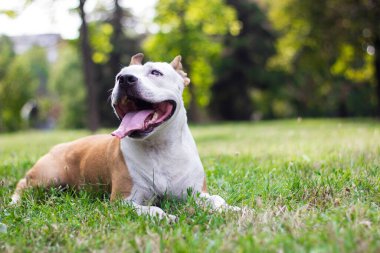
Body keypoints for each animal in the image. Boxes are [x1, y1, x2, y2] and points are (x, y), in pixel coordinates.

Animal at [11, 53, 240, 221]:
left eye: (155, 72)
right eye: (118, 76)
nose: (125, 79)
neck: (159, 147)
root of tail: (57, 147)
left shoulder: (196, 192)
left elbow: (217, 199)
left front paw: (231, 209)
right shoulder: (124, 201)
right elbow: (151, 209)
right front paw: (165, 216)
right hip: (47, 177)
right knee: (22, 184)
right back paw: (14, 202)